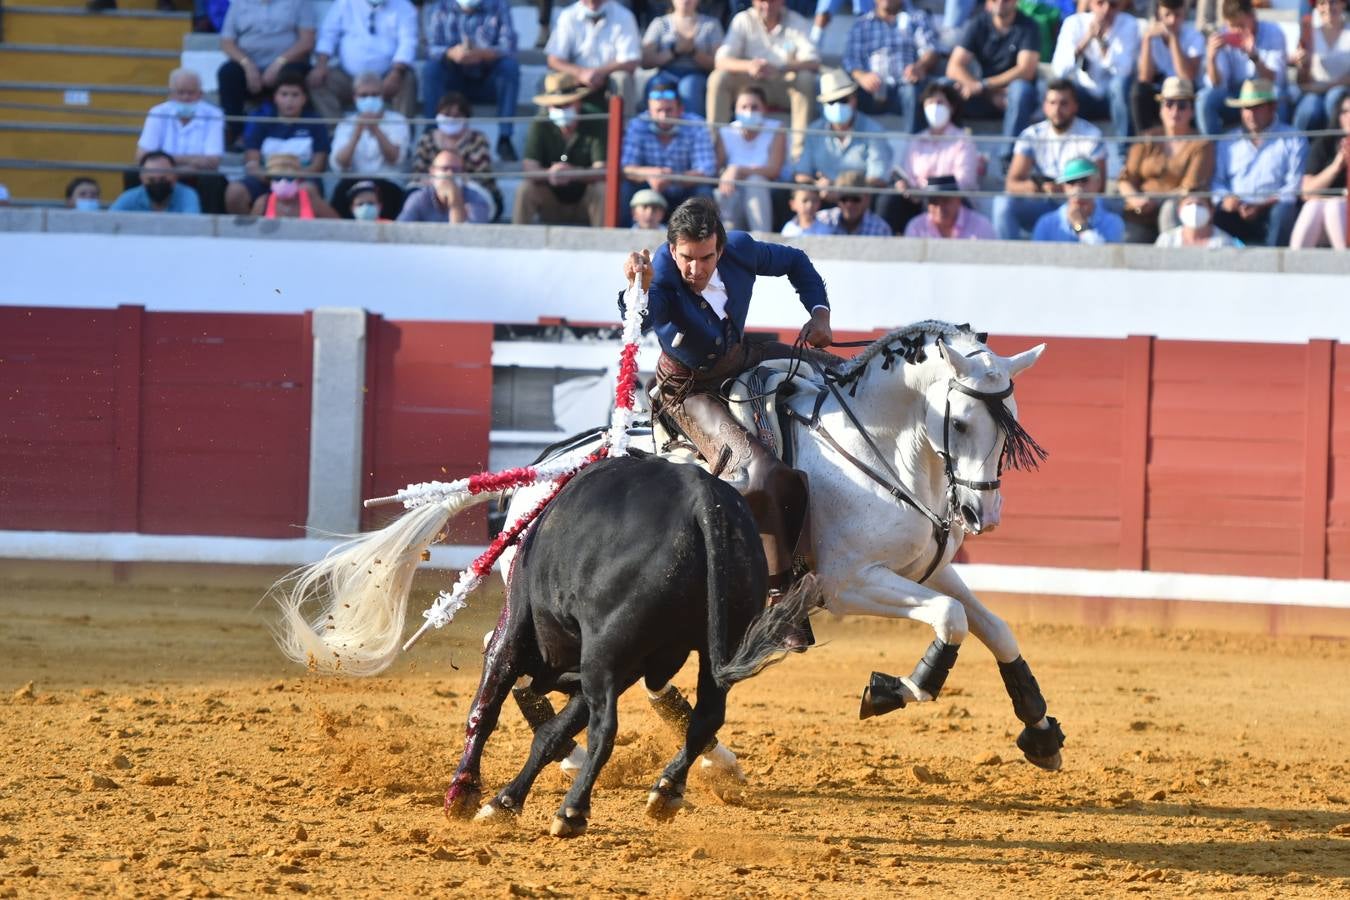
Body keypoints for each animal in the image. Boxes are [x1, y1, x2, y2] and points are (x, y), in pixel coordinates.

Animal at [442, 458, 810, 836]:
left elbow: (485, 707)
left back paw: (572, 811)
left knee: (605, 730)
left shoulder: (516, 632)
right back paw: (666, 790)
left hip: (601, 652)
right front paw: (505, 802)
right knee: (707, 717)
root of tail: (702, 496)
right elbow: (551, 734)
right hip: (717, 641)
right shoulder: (621, 670)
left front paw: (464, 792)